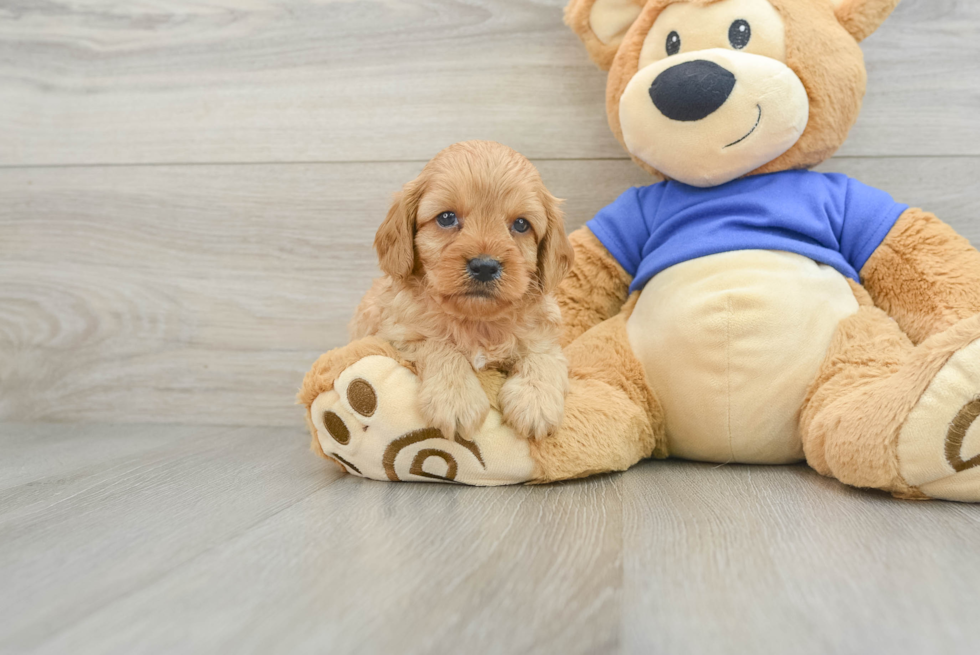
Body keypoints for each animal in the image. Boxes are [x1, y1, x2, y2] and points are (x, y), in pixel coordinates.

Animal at [348, 142, 576, 444]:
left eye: (521, 224)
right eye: (446, 217)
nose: (485, 266)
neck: (477, 321)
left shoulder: (544, 335)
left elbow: (544, 357)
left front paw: (535, 402)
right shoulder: (397, 334)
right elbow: (439, 345)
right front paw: (455, 399)